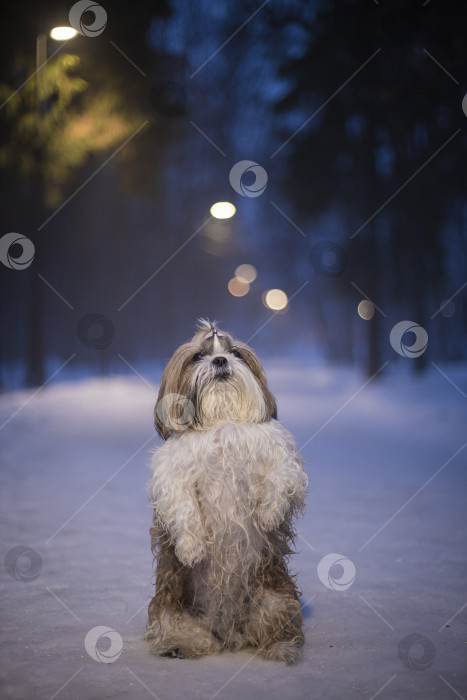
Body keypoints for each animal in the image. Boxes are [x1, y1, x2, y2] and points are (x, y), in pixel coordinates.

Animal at [144, 320, 308, 664]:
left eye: (235, 353)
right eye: (199, 356)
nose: (220, 361)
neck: (223, 420)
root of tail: (230, 633)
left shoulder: (280, 457)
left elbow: (281, 476)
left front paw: (268, 513)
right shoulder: (174, 475)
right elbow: (183, 505)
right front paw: (192, 547)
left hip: (277, 599)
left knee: (276, 628)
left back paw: (282, 646)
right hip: (172, 608)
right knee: (184, 632)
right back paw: (181, 645)